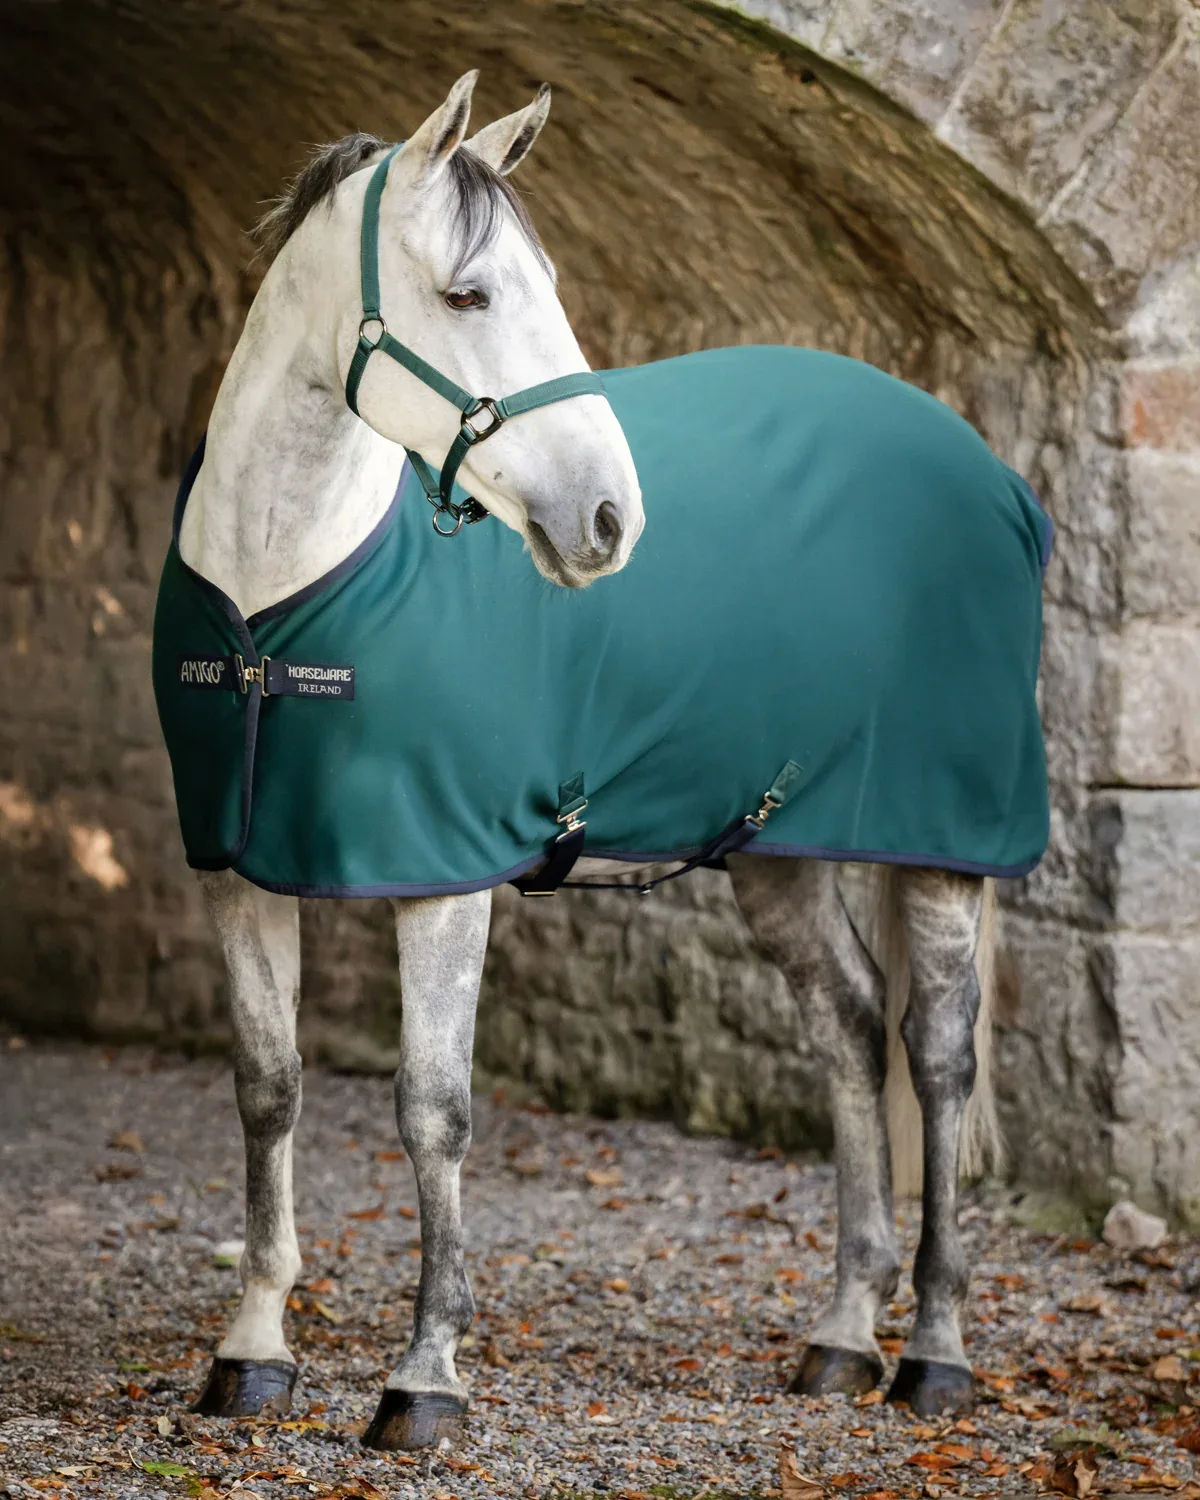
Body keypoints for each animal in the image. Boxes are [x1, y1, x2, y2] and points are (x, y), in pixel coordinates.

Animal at [157, 71, 1048, 1450]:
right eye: (471, 295)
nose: (611, 521)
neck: (281, 596)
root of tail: (990, 474)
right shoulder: (237, 870)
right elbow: (267, 1091)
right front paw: (251, 1352)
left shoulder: (443, 880)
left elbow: (434, 1110)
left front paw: (425, 1376)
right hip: (778, 849)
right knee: (850, 1029)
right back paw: (842, 1335)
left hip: (944, 847)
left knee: (937, 1057)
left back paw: (936, 1356)